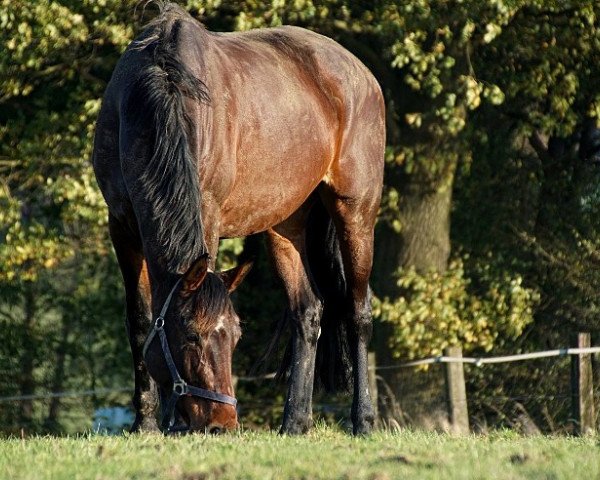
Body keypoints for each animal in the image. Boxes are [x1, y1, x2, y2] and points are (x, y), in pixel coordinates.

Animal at [94, 1, 384, 436]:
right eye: (190, 337)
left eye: (234, 337)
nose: (223, 422)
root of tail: (360, 72)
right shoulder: (123, 228)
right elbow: (140, 321)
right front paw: (146, 422)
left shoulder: (208, 216)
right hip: (285, 223)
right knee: (307, 311)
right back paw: (294, 422)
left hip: (356, 210)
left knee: (357, 311)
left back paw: (363, 420)